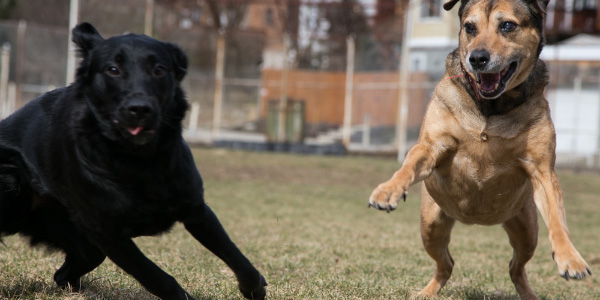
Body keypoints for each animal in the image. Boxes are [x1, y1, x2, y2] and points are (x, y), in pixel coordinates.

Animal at [0, 22, 264, 298]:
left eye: (159, 69)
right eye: (113, 70)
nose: (140, 109)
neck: (139, 161)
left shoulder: (196, 210)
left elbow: (237, 257)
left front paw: (254, 289)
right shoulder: (109, 235)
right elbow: (157, 278)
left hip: (82, 244)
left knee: (62, 274)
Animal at [368, 1, 592, 298]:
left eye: (507, 25)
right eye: (469, 27)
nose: (477, 58)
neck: (491, 107)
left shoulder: (542, 168)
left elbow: (557, 217)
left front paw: (571, 259)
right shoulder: (432, 145)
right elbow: (411, 162)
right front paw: (387, 191)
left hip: (525, 228)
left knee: (515, 267)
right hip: (431, 224)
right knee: (447, 263)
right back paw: (426, 292)